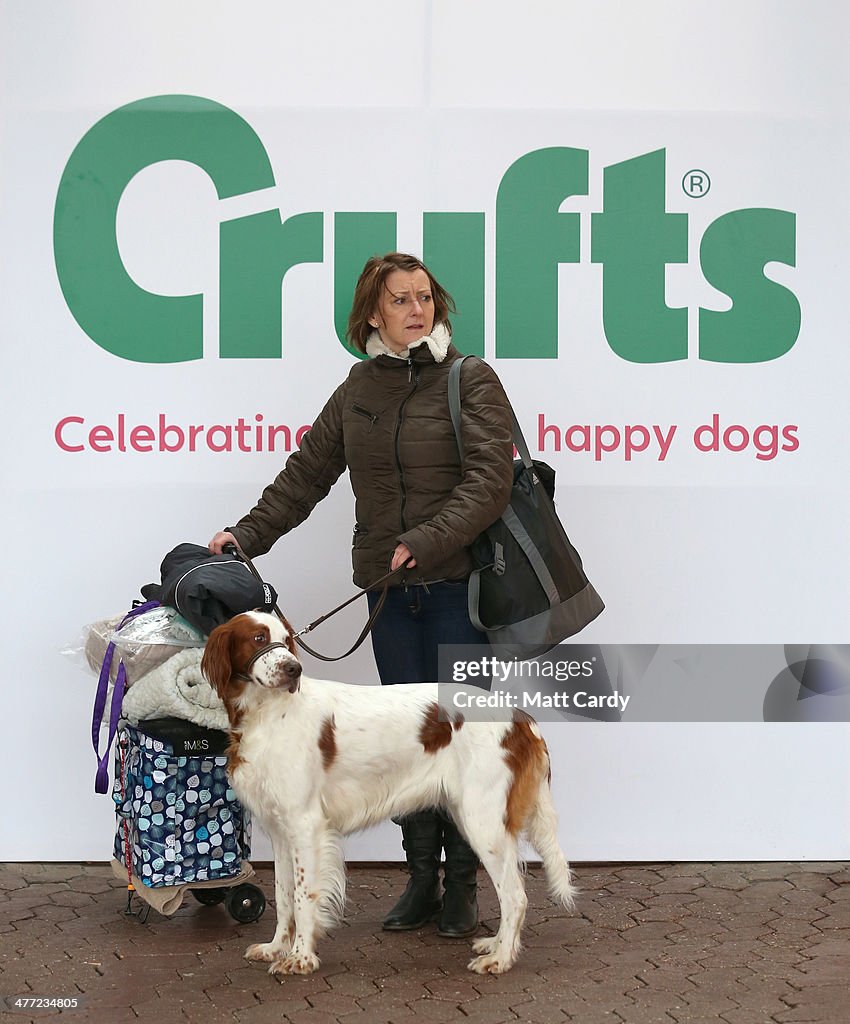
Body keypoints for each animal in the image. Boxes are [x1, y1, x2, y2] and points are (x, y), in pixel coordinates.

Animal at [201, 606, 577, 974]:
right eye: (258, 638)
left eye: (286, 639)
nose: (294, 669)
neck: (268, 712)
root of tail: (521, 718)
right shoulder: (281, 830)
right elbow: (283, 896)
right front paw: (276, 948)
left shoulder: (306, 825)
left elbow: (304, 895)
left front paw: (301, 958)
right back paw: (496, 945)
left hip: (482, 820)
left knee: (515, 895)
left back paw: (500, 959)